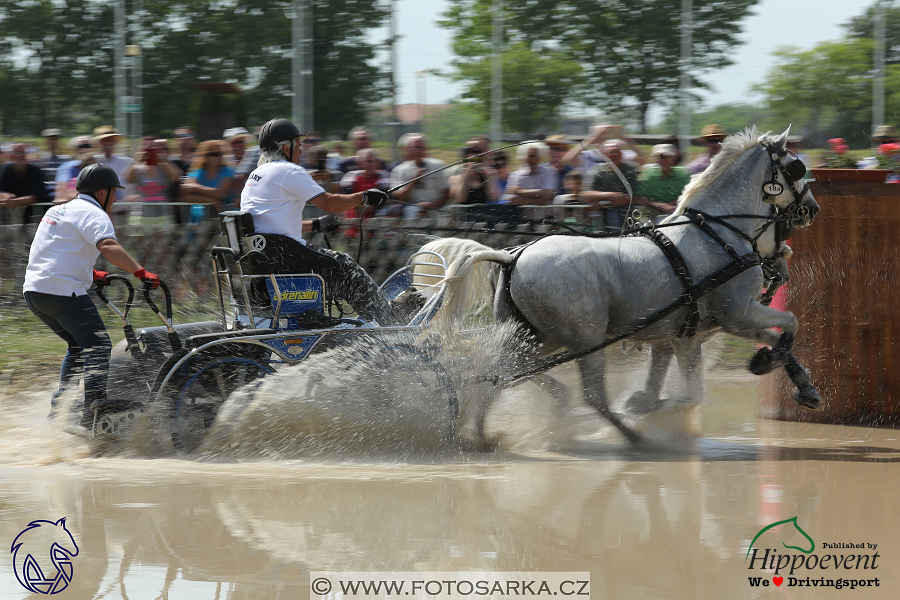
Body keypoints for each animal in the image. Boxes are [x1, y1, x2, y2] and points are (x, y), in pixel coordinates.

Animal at [426, 127, 820, 446]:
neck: (718, 232)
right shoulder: (735, 316)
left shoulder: (682, 336)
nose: (812, 209)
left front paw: (800, 383)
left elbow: (774, 336)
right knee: (589, 395)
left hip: (535, 337)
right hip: (584, 339)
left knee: (499, 375)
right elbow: (788, 326)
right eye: (796, 166)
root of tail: (513, 256)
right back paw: (634, 438)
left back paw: (482, 434)